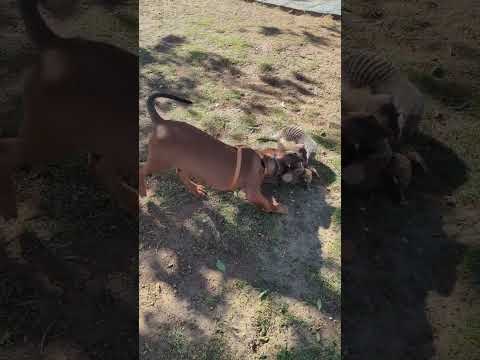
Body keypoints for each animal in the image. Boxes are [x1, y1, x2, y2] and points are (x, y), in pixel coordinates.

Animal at [0, 0, 138, 219]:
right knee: (4, 154)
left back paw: (130, 200)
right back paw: (8, 207)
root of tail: (59, 44)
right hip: (53, 140)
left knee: (99, 167)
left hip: (104, 139)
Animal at [139, 94, 288, 215]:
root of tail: (161, 122)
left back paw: (195, 189)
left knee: (181, 174)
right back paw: (143, 192)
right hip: (160, 160)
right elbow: (266, 202)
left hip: (185, 161)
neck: (262, 160)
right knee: (141, 170)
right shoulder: (253, 192)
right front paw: (278, 207)